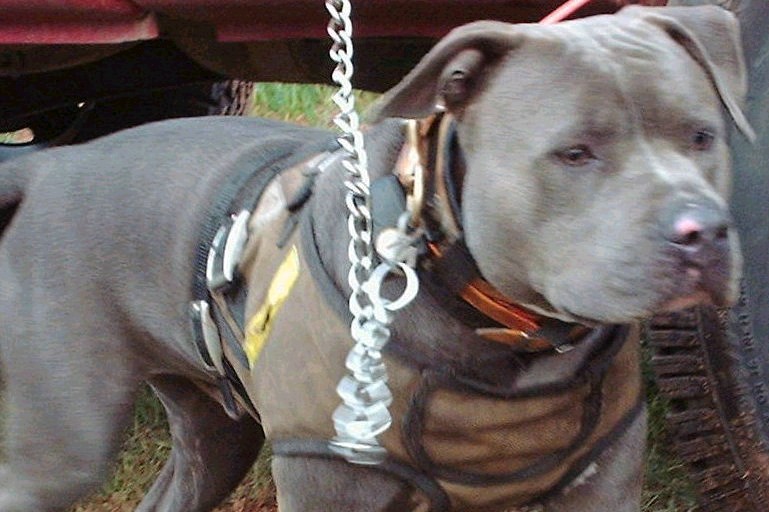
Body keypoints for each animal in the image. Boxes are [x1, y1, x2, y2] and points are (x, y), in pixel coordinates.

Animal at [0, 5, 752, 512]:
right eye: (574, 153)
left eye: (702, 136)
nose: (702, 232)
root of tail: (52, 165)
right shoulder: (331, 481)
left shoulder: (600, 483)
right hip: (65, 443)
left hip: (212, 433)